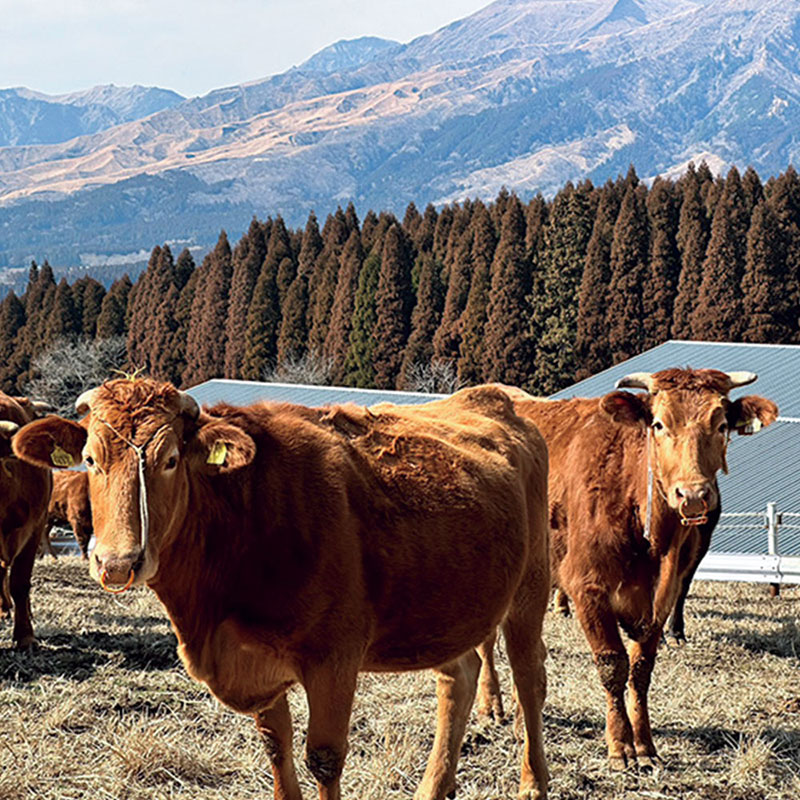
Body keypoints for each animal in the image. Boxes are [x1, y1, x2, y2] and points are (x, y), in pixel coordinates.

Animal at [12, 380, 552, 800]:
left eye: (169, 460)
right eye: (89, 459)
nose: (117, 562)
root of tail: (493, 399)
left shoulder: (334, 658)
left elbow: (324, 759)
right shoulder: (258, 666)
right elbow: (278, 750)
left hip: (530, 589)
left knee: (530, 681)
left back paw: (532, 783)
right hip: (444, 605)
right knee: (458, 677)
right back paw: (433, 786)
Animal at [478, 368, 780, 768]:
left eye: (720, 425)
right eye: (658, 424)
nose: (693, 495)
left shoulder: (661, 597)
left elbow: (640, 669)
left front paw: (645, 744)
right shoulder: (587, 587)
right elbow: (612, 665)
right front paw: (620, 745)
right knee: (486, 643)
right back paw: (490, 706)